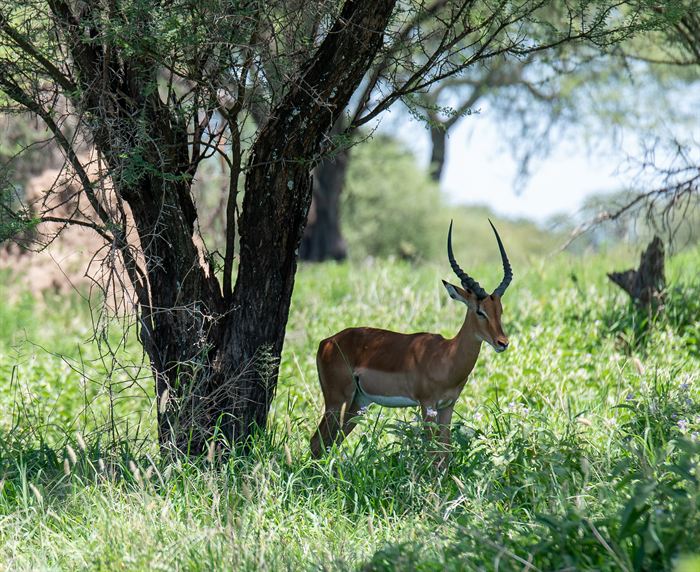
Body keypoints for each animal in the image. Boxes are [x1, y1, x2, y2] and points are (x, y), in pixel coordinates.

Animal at [310, 220, 513, 458]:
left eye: (499, 310)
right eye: (480, 311)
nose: (502, 343)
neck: (446, 356)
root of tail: (327, 342)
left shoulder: (447, 406)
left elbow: (445, 452)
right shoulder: (428, 405)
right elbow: (433, 454)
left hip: (358, 403)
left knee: (330, 442)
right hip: (337, 400)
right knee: (316, 442)